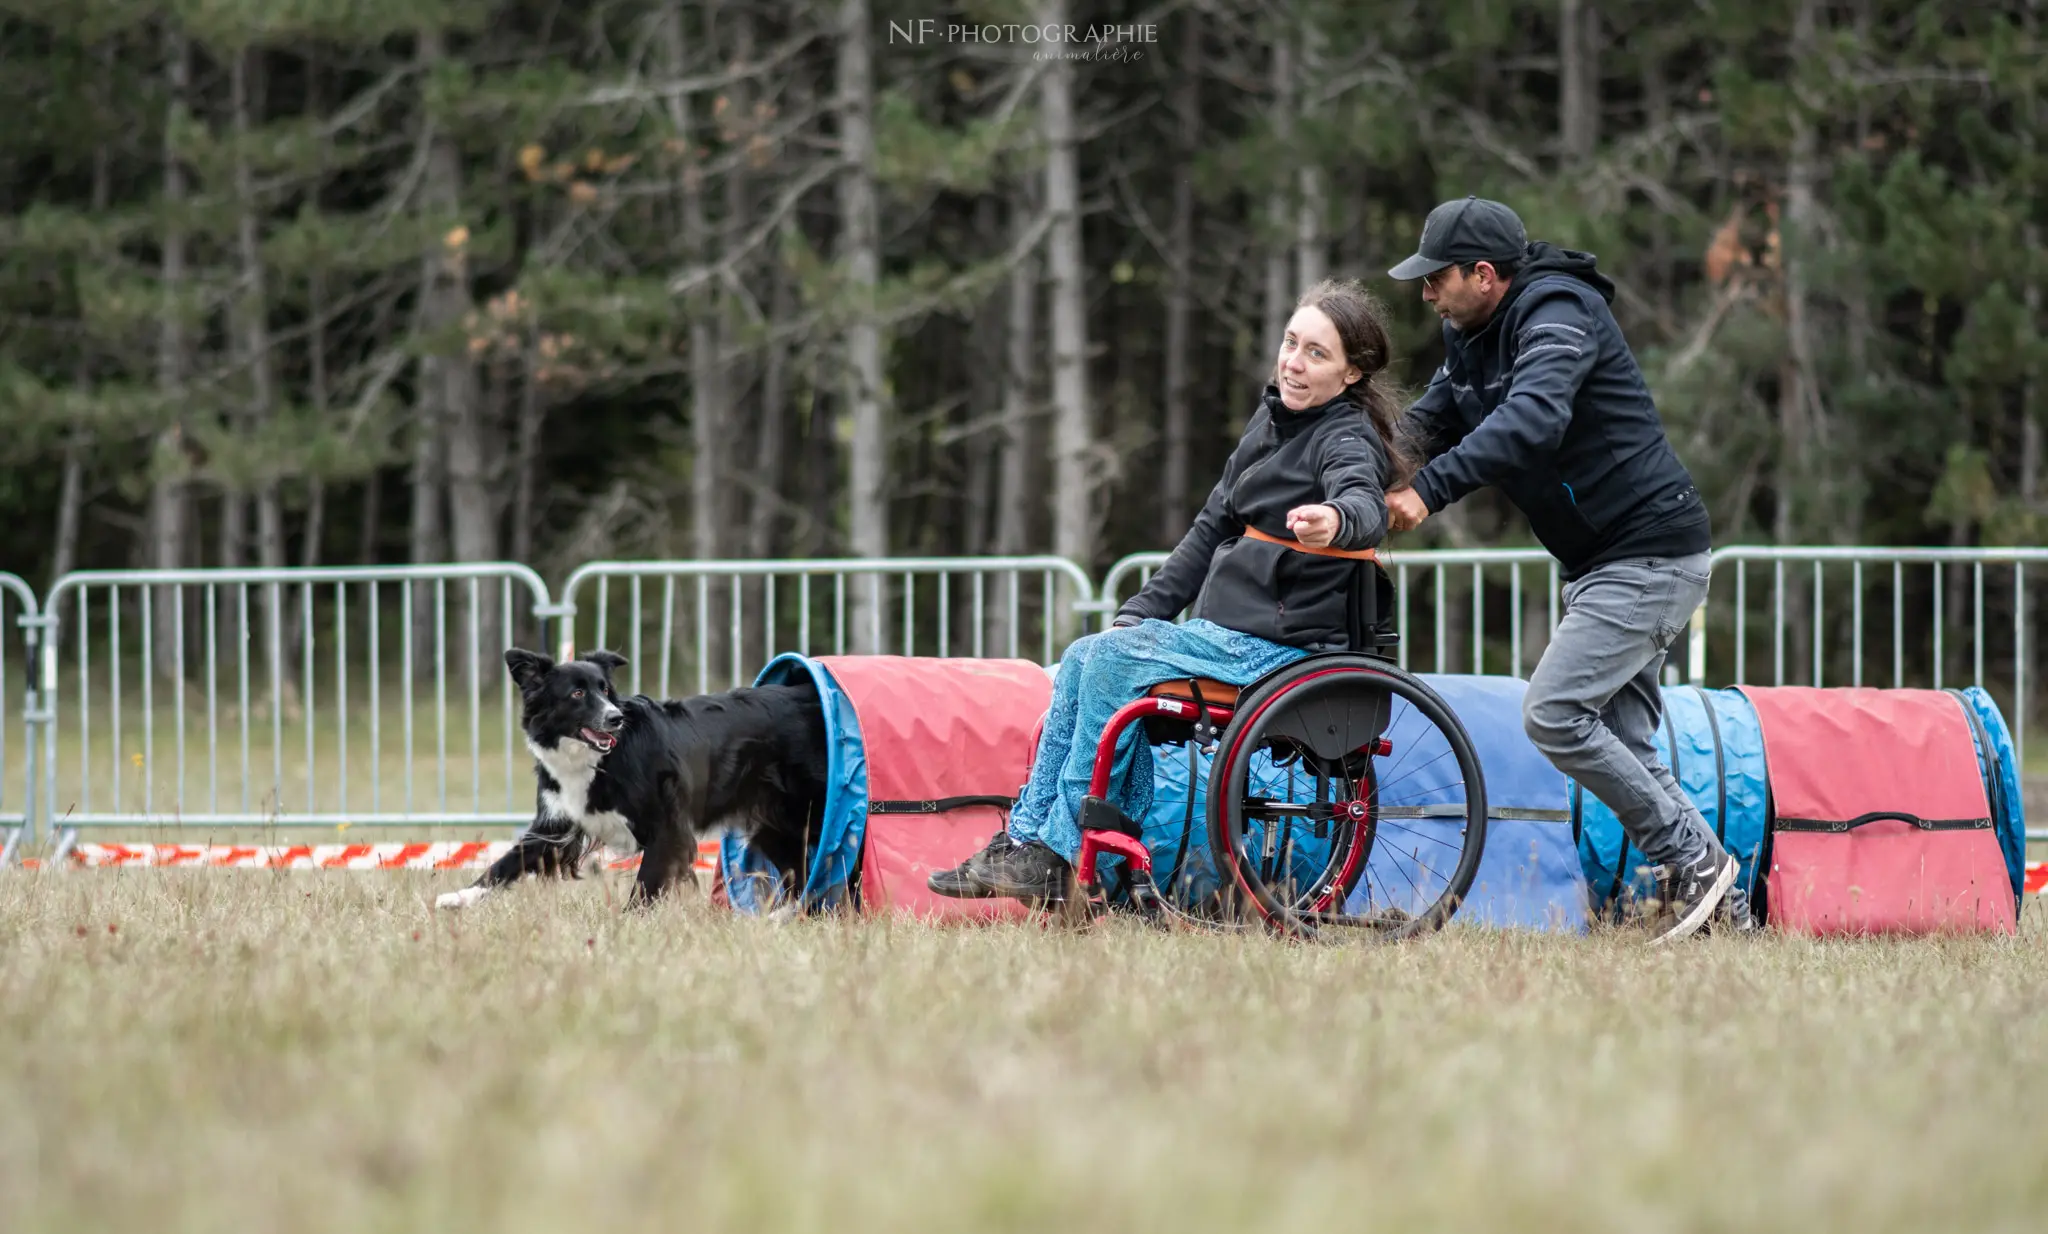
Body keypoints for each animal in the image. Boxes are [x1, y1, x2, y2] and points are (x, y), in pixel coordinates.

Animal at [436, 650, 827, 912]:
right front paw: (457, 896)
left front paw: (628, 925)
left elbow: (646, 884)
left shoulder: (667, 828)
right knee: (800, 871)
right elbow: (505, 861)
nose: (615, 718)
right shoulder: (556, 822)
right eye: (577, 693)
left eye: (606, 690)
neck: (596, 760)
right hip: (775, 827)